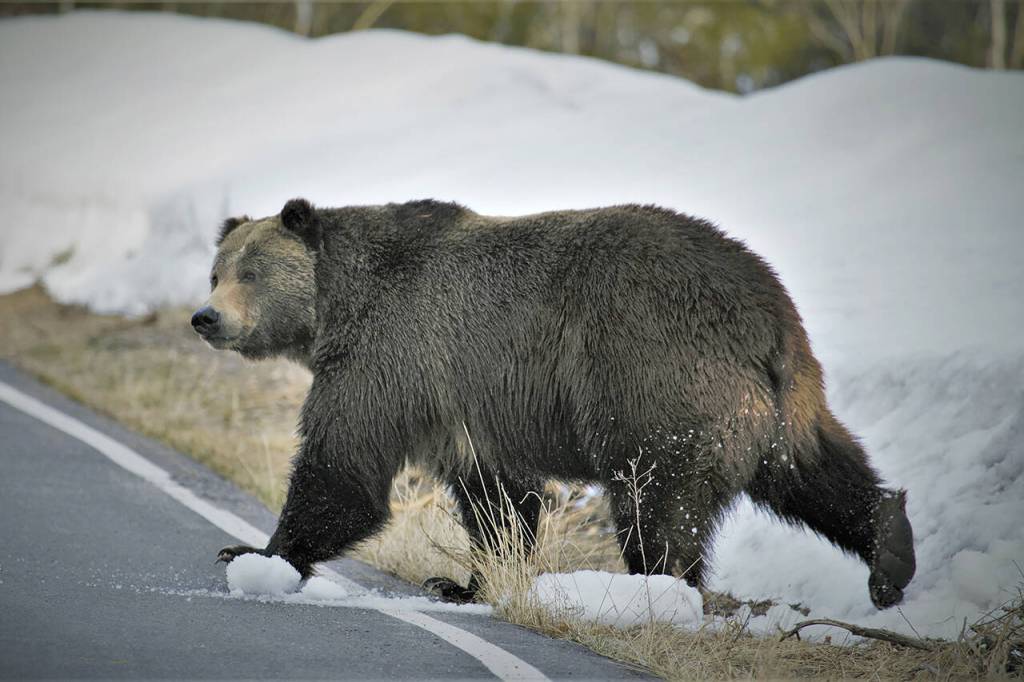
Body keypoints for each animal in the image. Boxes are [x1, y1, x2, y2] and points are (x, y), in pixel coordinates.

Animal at [192, 197, 916, 609]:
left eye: (250, 272)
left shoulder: (390, 357)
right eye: (216, 270)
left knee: (657, 505)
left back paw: (657, 590)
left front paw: (256, 553)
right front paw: (464, 582)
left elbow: (343, 469)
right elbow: (498, 498)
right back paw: (891, 552)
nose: (205, 317)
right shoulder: (466, 404)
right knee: (816, 472)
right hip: (783, 404)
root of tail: (769, 311)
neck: (334, 308)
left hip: (656, 379)